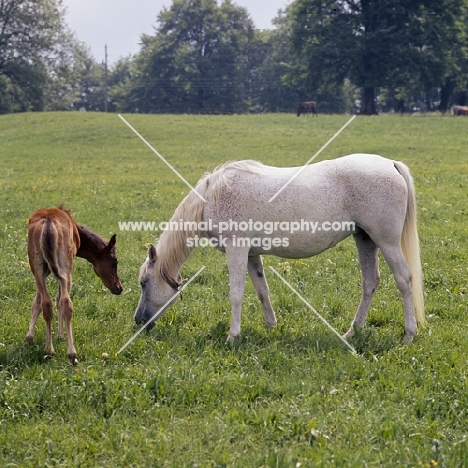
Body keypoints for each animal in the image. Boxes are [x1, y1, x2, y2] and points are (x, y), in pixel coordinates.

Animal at [25, 207, 122, 364]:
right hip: (66, 267)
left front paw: (29, 338)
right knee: (66, 302)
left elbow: (38, 302)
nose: (119, 288)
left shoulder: (44, 272)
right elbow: (57, 300)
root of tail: (48, 223)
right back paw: (71, 353)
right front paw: (60, 335)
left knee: (47, 303)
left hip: (37, 266)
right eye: (115, 262)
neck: (78, 234)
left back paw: (49, 350)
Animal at [133, 154, 426, 344]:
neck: (212, 197)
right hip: (364, 240)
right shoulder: (251, 255)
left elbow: (236, 294)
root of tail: (390, 164)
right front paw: (271, 326)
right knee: (370, 283)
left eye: (144, 283)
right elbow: (262, 290)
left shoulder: (237, 250)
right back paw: (352, 332)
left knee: (404, 279)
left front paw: (232, 336)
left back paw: (408, 335)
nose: (138, 320)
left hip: (386, 242)